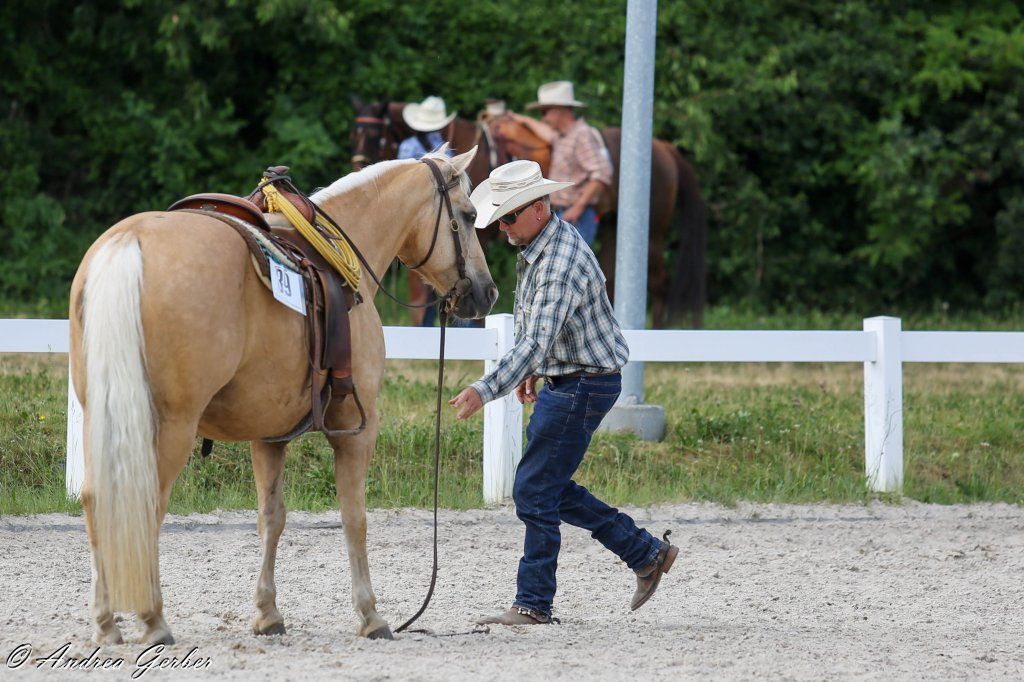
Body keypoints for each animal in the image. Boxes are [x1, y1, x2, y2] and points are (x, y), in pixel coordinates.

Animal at [68, 149, 496, 645]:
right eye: (468, 216)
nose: (486, 292)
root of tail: (129, 242)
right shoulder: (357, 429)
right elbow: (355, 518)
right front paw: (370, 615)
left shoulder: (268, 436)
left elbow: (271, 517)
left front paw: (267, 612)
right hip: (171, 427)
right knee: (146, 505)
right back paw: (154, 620)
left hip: (100, 415)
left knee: (96, 500)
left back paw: (105, 624)